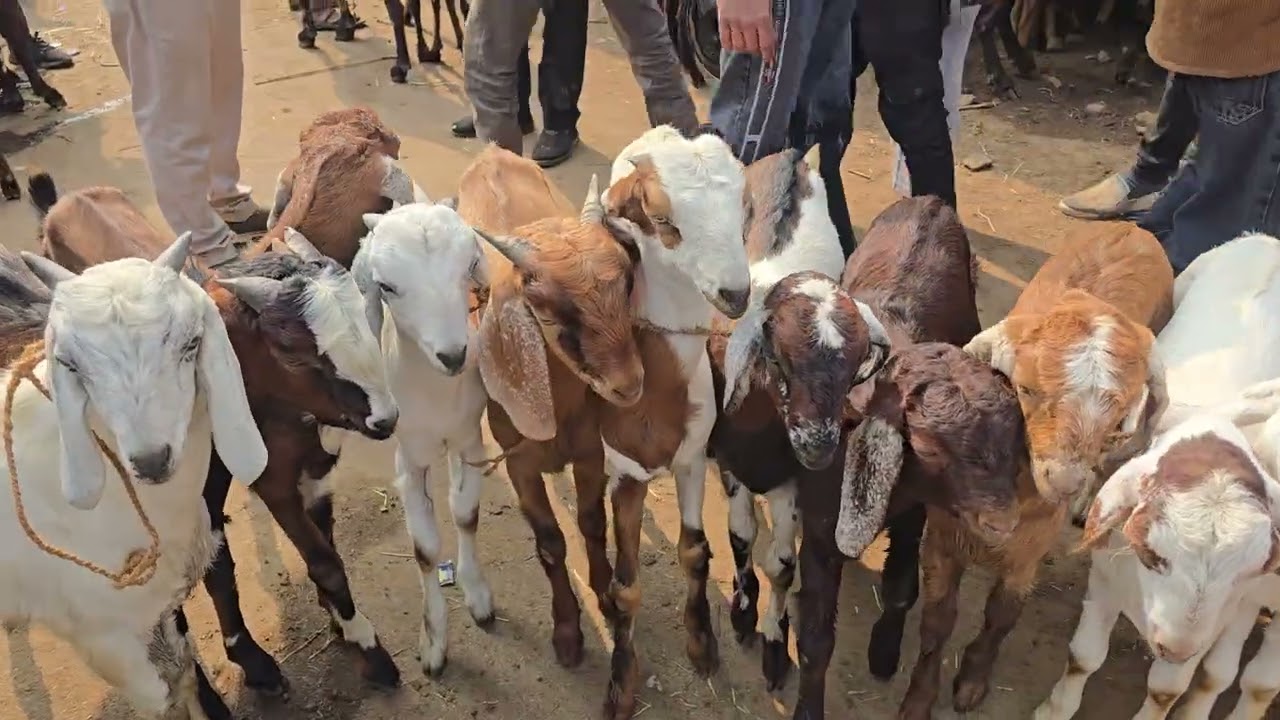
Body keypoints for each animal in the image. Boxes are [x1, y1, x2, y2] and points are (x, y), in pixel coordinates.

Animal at [1, 234, 266, 719]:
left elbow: (183, 674)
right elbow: (161, 700)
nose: (151, 460)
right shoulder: (102, 636)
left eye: (190, 343)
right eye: (69, 364)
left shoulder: (154, 608)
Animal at [31, 173, 404, 695]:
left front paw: (340, 623)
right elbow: (306, 562)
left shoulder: (314, 469)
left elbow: (322, 547)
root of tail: (66, 200)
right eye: (291, 350)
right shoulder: (260, 482)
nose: (384, 419)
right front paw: (363, 648)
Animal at [348, 199, 494, 677]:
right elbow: (425, 549)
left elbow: (466, 515)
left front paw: (478, 595)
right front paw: (433, 643)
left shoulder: (470, 441)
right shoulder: (408, 460)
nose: (453, 355)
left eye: (469, 266)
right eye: (386, 286)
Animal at [1034, 406, 1280, 720]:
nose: (1174, 650)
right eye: (1149, 554)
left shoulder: (1222, 617)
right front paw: (1054, 710)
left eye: (1245, 574)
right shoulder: (1105, 580)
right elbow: (1084, 656)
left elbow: (1168, 690)